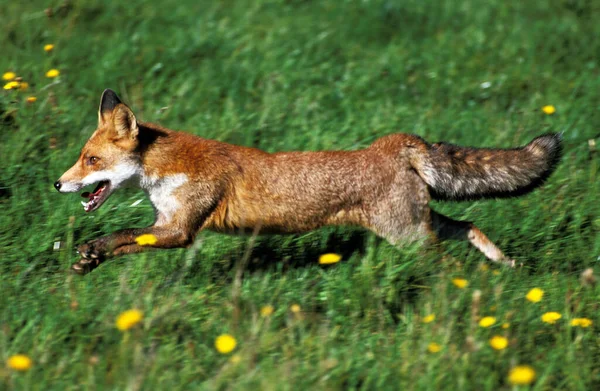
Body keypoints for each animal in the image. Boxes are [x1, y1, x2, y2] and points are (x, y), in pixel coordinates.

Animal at [52, 90, 564, 274]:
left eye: (90, 159)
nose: (58, 185)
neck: (166, 171)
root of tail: (393, 143)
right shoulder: (168, 226)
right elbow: (125, 243)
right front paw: (89, 261)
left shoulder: (180, 231)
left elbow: (121, 235)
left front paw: (93, 250)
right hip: (416, 224)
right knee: (468, 225)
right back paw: (504, 266)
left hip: (408, 235)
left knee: (448, 261)